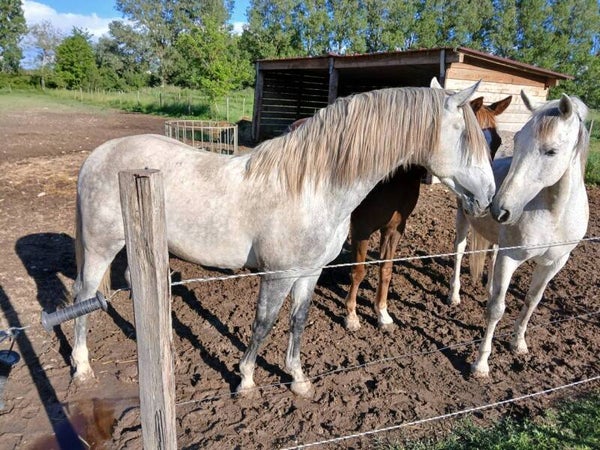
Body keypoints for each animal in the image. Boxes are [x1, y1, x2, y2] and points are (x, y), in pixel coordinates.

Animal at [344, 93, 512, 330]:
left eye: (497, 142)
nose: (486, 198)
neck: (391, 180)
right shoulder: (361, 228)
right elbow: (358, 271)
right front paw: (351, 316)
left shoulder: (394, 228)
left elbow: (386, 269)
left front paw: (382, 314)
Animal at [447, 91, 589, 378]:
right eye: (517, 140)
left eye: (551, 151)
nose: (499, 208)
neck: (555, 212)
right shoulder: (511, 258)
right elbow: (496, 310)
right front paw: (481, 364)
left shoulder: (555, 263)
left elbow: (532, 300)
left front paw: (519, 343)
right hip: (463, 220)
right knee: (459, 252)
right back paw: (454, 296)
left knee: (491, 255)